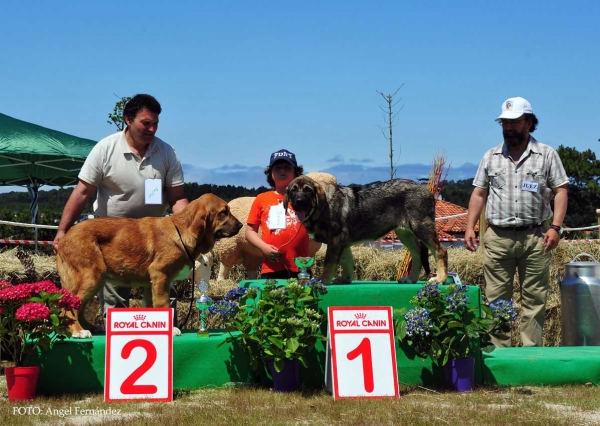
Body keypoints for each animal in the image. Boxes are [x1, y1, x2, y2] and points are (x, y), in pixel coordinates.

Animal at [56, 192, 241, 336]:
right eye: (224, 212)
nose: (240, 225)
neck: (182, 230)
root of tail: (63, 239)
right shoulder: (161, 276)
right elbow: (163, 303)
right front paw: (172, 330)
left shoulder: (150, 284)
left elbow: (152, 305)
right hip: (91, 276)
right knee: (69, 307)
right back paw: (79, 331)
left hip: (95, 281)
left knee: (78, 307)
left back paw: (89, 328)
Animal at [284, 175, 448, 284]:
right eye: (293, 191)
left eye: (308, 191)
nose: (299, 201)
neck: (320, 207)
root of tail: (428, 192)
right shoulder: (341, 242)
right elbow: (346, 261)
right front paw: (345, 279)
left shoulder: (335, 238)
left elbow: (329, 263)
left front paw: (322, 280)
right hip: (405, 233)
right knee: (417, 255)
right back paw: (411, 279)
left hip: (421, 228)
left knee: (440, 251)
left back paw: (439, 279)